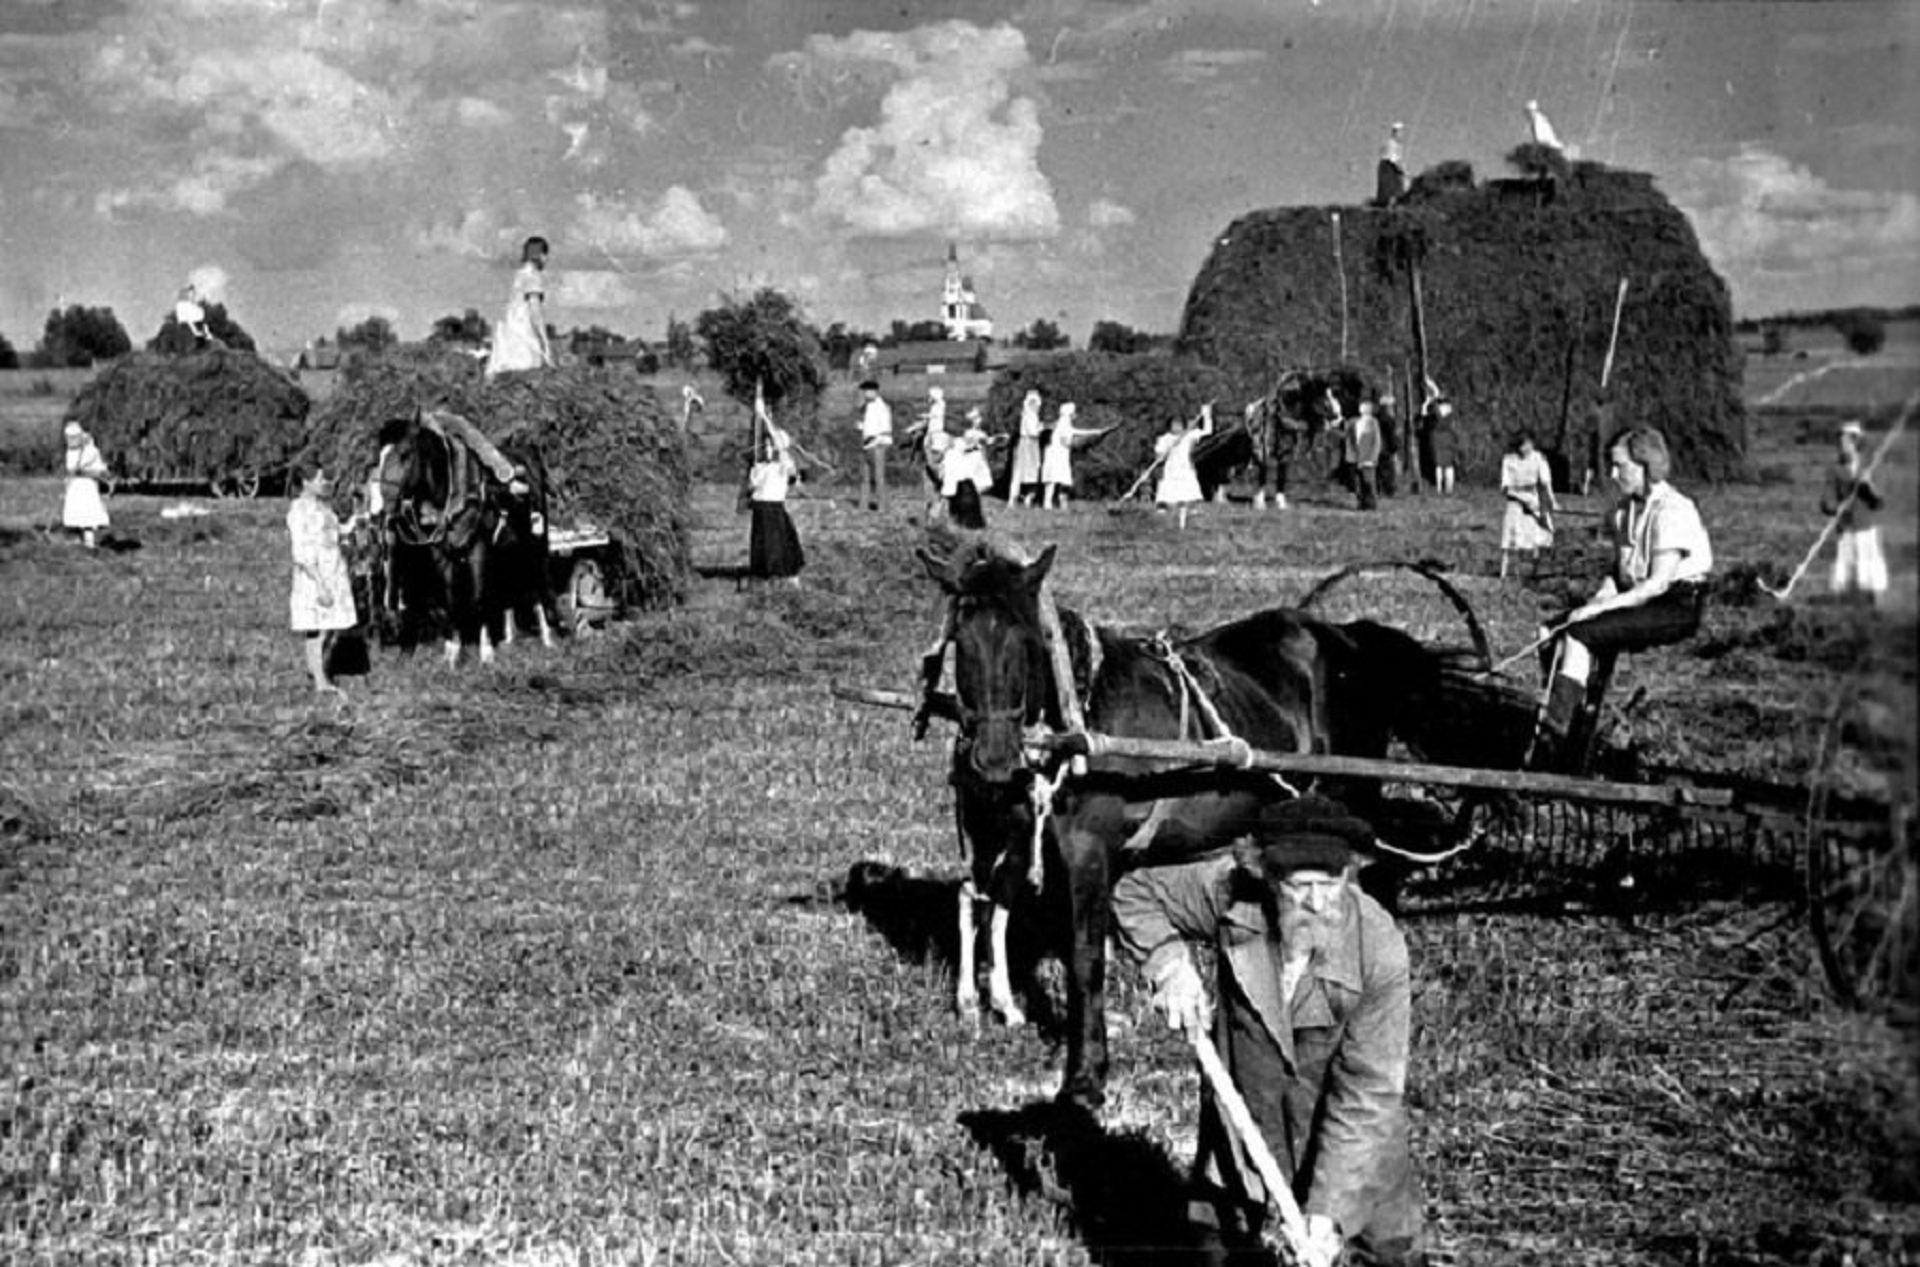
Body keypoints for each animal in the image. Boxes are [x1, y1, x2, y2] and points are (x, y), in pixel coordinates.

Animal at [372, 410, 556, 668]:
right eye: (379, 457)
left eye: (405, 454)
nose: (383, 505)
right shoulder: (443, 556)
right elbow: (451, 600)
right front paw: (452, 653)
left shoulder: (479, 551)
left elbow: (478, 597)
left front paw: (486, 653)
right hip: (507, 552)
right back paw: (510, 639)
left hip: (534, 546)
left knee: (538, 585)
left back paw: (548, 638)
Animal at [921, 541, 1536, 1105]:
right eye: (959, 642)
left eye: (1026, 642)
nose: (992, 760)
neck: (1083, 723)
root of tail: (1347, 640)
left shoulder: (1087, 857)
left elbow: (1083, 960)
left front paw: (1085, 1078)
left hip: (1352, 797)